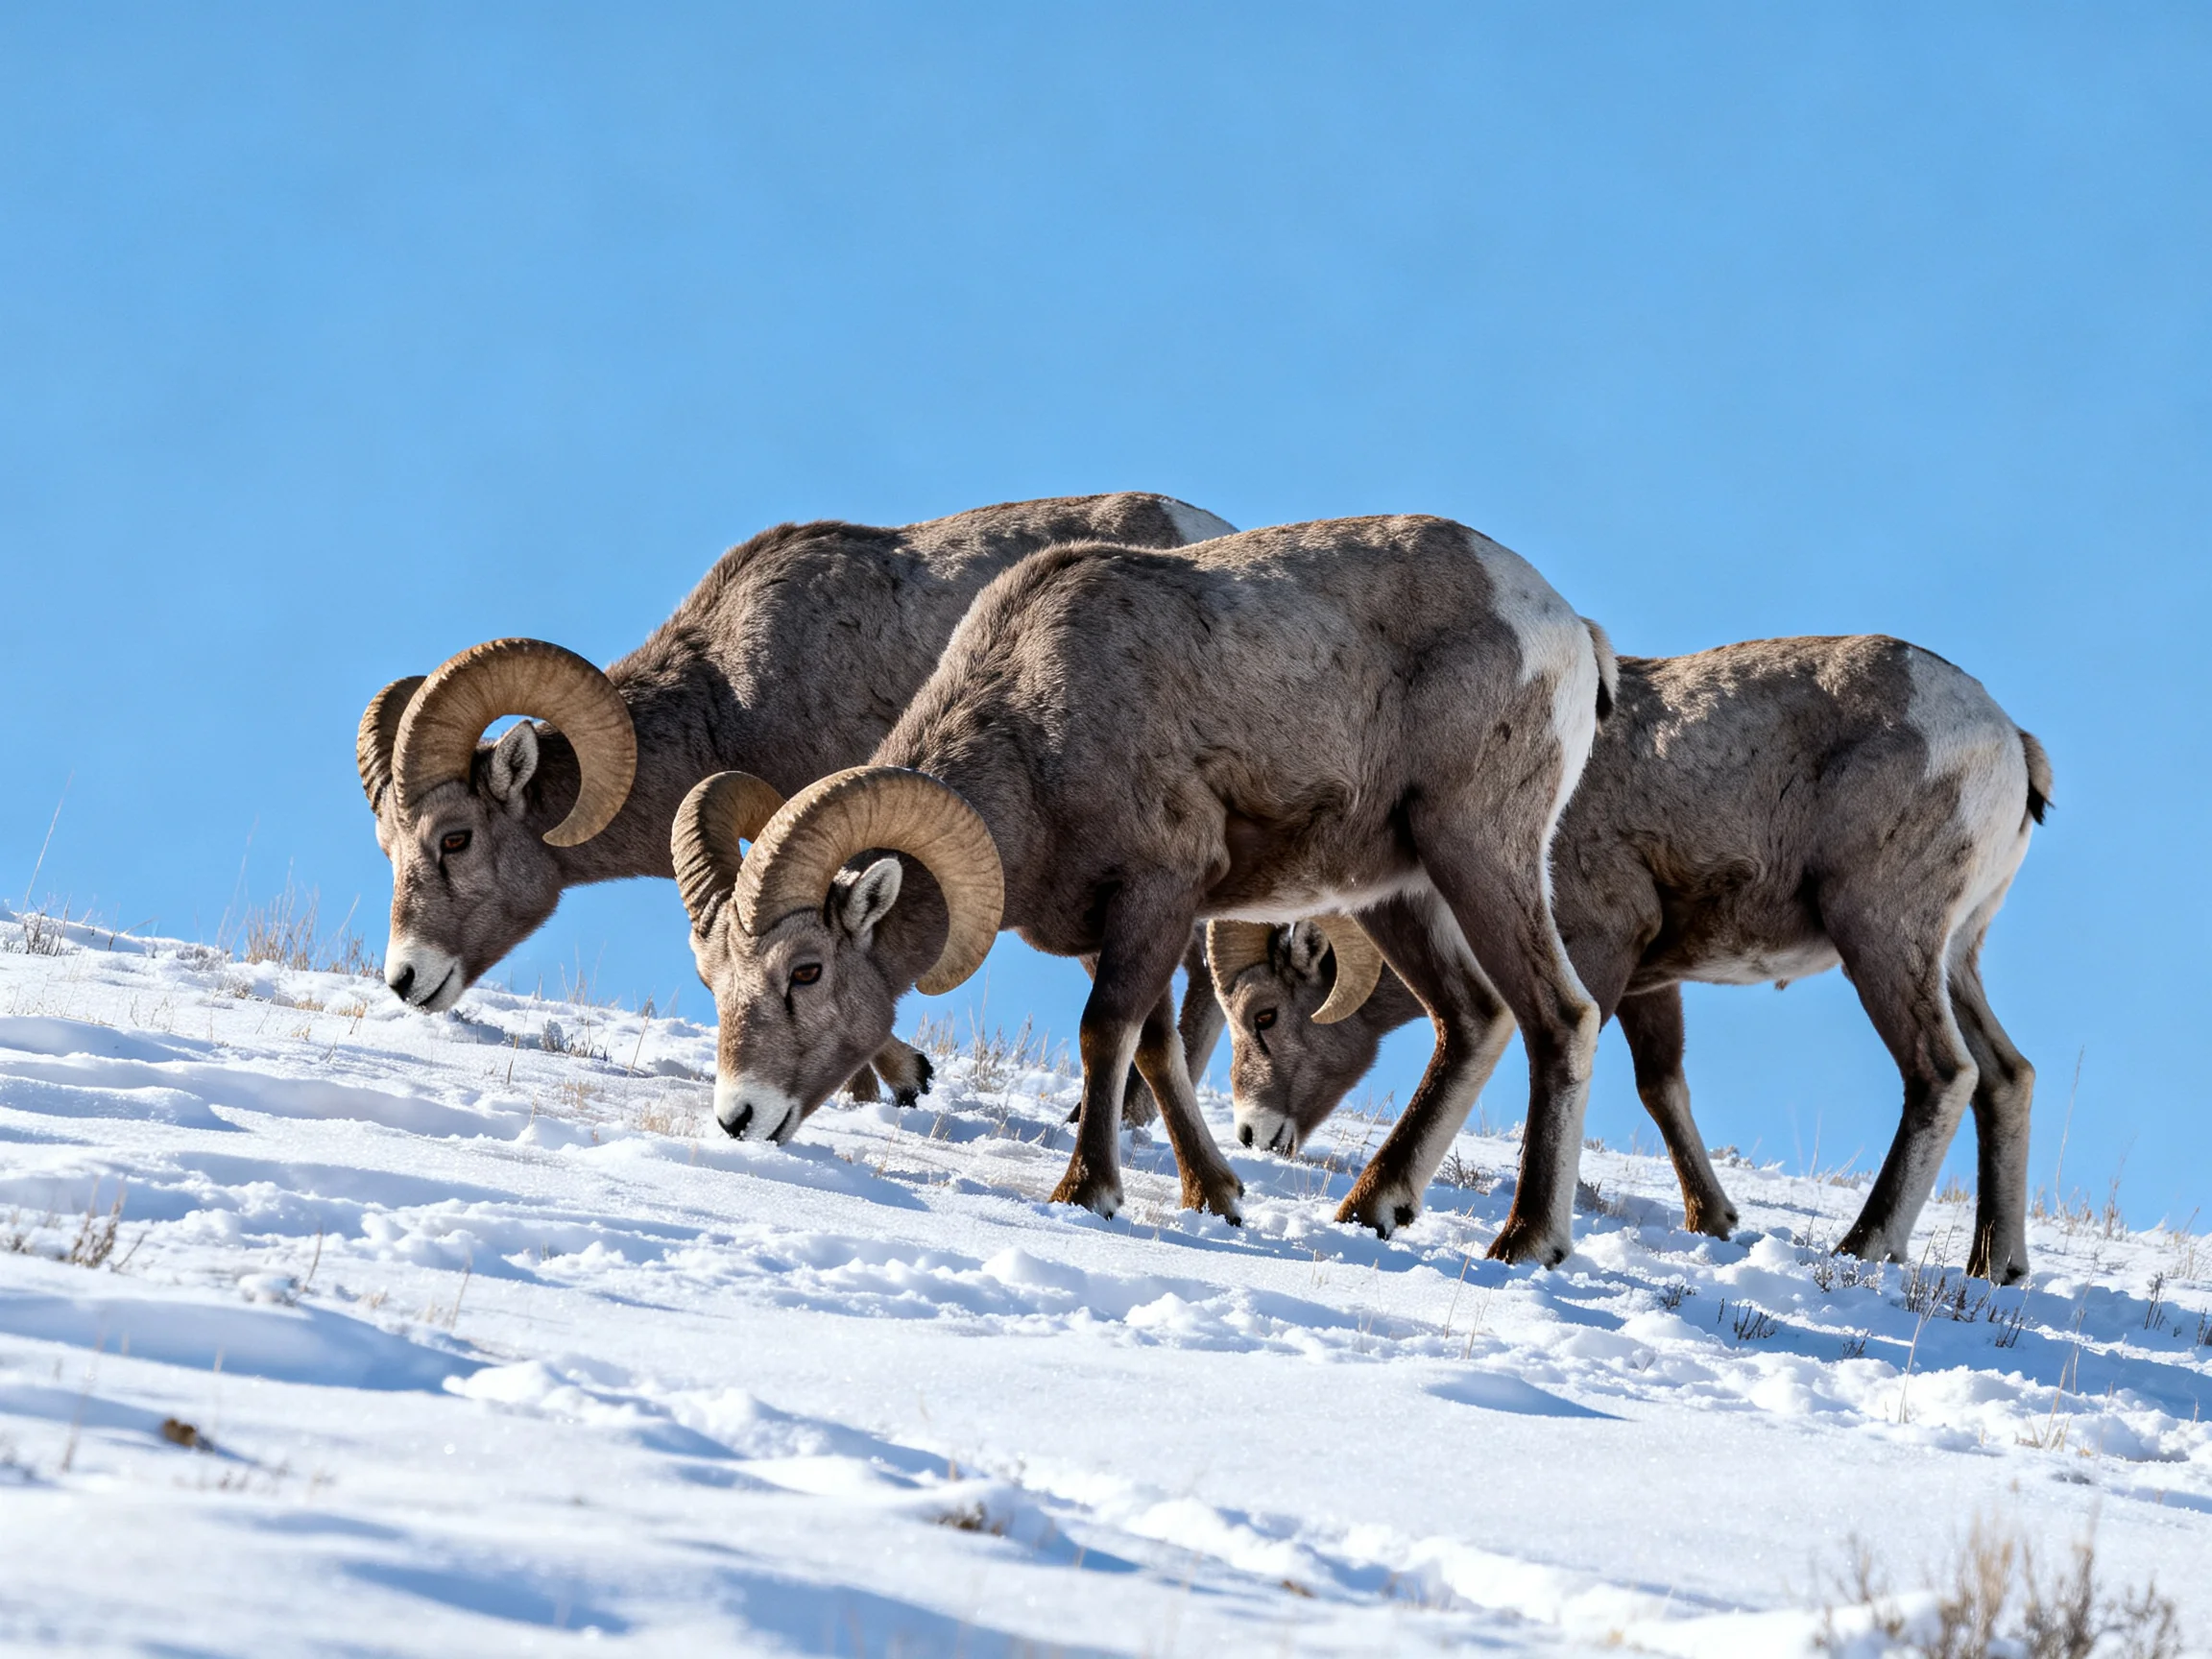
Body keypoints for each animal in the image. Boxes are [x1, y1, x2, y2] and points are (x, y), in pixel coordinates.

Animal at [672, 515, 1611, 1265]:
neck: (1036, 734)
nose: (739, 1117)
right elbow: (1157, 1050)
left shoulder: (1157, 893)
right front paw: (1216, 1197)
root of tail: (1563, 626)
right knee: (1473, 1020)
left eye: (805, 972)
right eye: (712, 980)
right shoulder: (1120, 925)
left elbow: (1106, 1036)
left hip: (1476, 851)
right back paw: (1373, 1208)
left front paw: (1085, 1194)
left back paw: (1527, 1242)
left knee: (1559, 1019)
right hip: (1395, 891)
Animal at [1208, 635, 2051, 1283]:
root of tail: (2010, 743)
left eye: (1265, 1015)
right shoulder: (1653, 980)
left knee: (1944, 1074)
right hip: (1953, 958)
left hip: (1881, 935)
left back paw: (1862, 1248)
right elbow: (1661, 1088)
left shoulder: (1603, 944)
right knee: (2005, 1076)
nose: (1251, 1132)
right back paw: (1993, 1266)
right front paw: (1712, 1219)